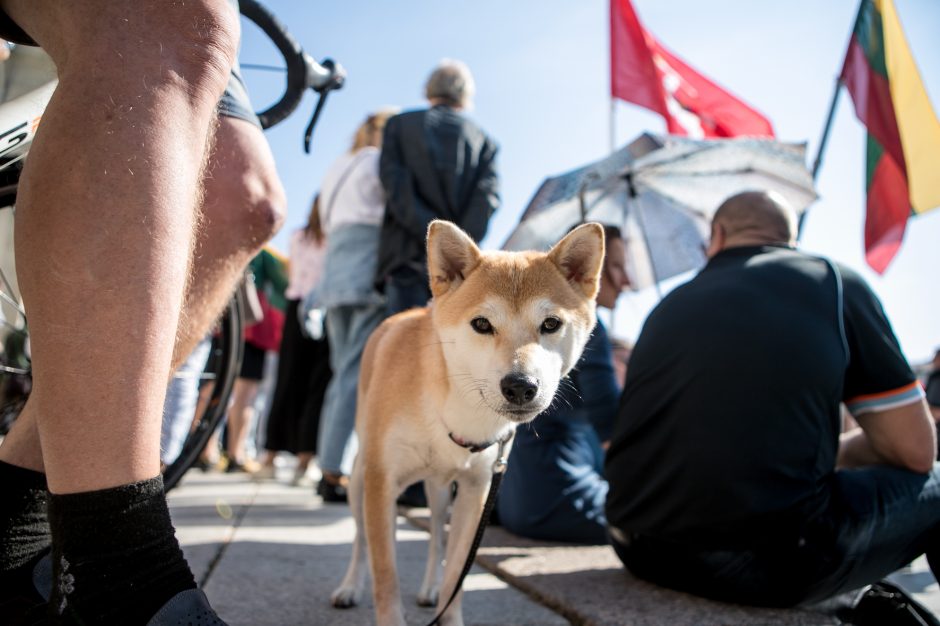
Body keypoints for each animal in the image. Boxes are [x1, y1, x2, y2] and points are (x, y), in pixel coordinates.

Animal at [330, 218, 604, 624]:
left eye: (551, 323)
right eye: (482, 324)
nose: (520, 386)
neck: (455, 408)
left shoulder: (477, 490)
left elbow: (456, 574)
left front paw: (447, 609)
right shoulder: (382, 484)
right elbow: (386, 574)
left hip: (441, 488)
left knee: (435, 538)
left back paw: (429, 589)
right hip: (361, 476)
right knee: (360, 539)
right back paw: (349, 586)